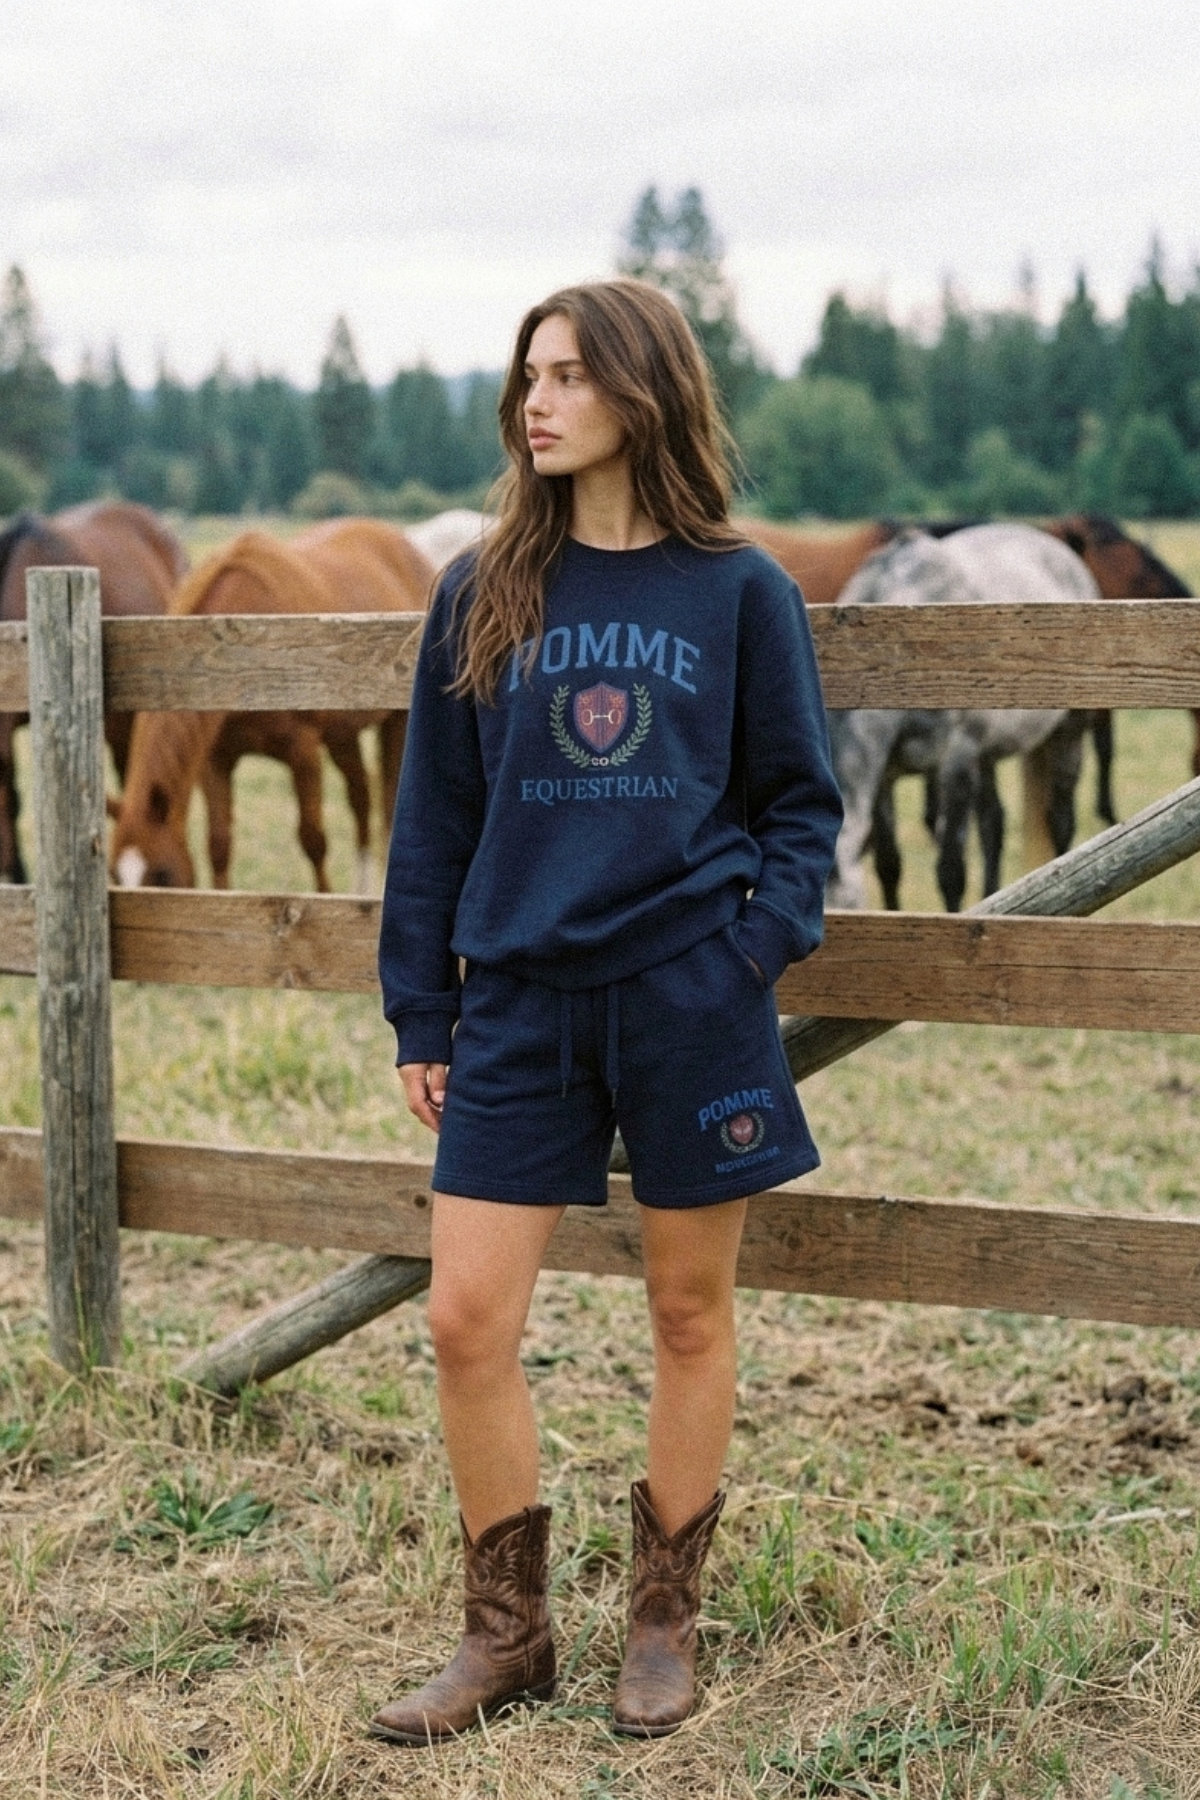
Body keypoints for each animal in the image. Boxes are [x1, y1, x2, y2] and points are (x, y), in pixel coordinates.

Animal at [110, 518, 434, 892]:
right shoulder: (216, 762)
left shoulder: (303, 752)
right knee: (361, 798)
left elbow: (314, 840)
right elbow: (218, 845)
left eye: (162, 874)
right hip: (342, 734)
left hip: (397, 723)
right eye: (113, 874)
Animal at [827, 524, 1100, 913]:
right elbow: (888, 864)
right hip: (985, 755)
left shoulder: (954, 761)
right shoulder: (885, 777)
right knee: (993, 825)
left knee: (1061, 820)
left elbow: (951, 870)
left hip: (1067, 733)